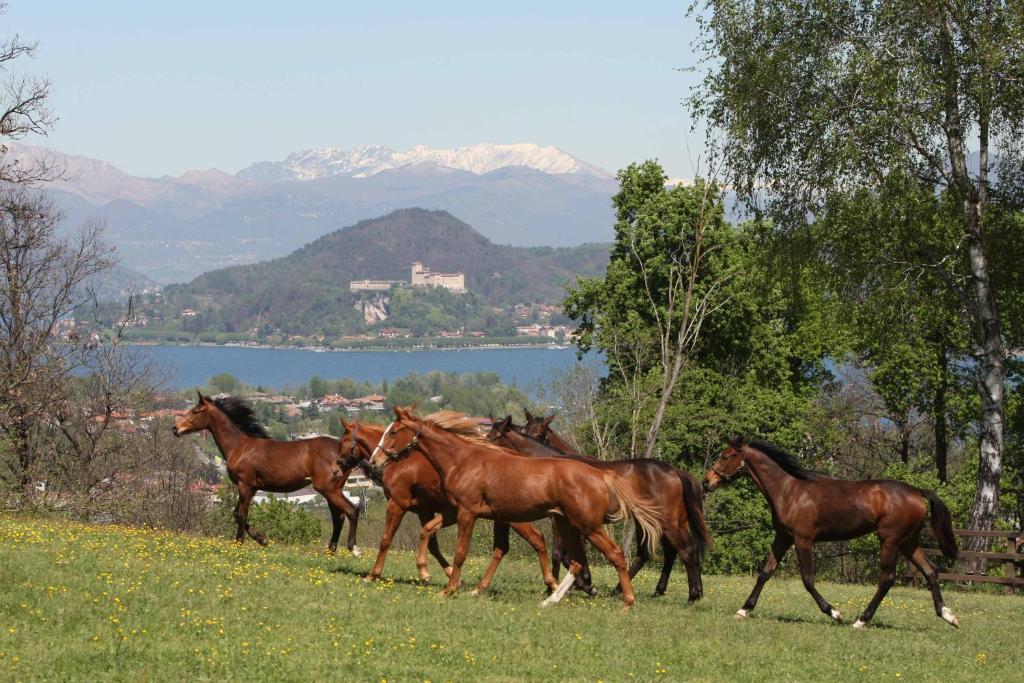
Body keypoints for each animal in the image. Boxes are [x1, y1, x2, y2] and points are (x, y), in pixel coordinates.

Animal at [177, 389, 364, 557]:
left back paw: (353, 549)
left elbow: (241, 514)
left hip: (328, 489)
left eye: (195, 411)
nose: (175, 428)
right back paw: (330, 552)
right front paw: (262, 539)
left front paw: (240, 543)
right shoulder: (251, 488)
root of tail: (345, 452)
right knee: (338, 517)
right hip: (332, 490)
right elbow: (236, 513)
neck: (240, 446)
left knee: (351, 510)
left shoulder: (245, 485)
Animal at [339, 417, 557, 593]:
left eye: (342, 441)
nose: (339, 464)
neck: (400, 462)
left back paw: (551, 584)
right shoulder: (425, 510)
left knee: (537, 539)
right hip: (502, 518)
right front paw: (447, 575)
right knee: (502, 548)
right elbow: (432, 543)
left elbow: (386, 539)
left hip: (515, 518)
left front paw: (373, 575)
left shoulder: (397, 505)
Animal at [368, 405, 663, 610]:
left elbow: (461, 552)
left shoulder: (467, 513)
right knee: (578, 561)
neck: (463, 460)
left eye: (393, 432)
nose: (374, 461)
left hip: (588, 526)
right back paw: (550, 600)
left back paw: (627, 601)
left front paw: (449, 589)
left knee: (615, 554)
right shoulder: (453, 512)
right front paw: (426, 571)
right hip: (568, 524)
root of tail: (603, 476)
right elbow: (428, 530)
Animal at [491, 413, 708, 602]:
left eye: (541, 433)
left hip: (668, 522)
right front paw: (578, 584)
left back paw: (691, 595)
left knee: (684, 550)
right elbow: (569, 555)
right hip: (659, 522)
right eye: (525, 429)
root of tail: (676, 471)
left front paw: (573, 585)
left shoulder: (560, 520)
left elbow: (561, 554)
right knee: (666, 551)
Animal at [704, 438, 958, 630]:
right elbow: (765, 573)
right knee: (930, 571)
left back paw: (860, 621)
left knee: (887, 579)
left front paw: (835, 613)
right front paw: (743, 610)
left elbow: (807, 580)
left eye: (726, 456)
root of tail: (917, 491)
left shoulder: (803, 540)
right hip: (908, 542)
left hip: (890, 541)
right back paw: (949, 616)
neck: (789, 491)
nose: (707, 482)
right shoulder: (783, 537)